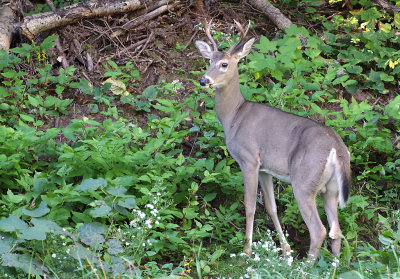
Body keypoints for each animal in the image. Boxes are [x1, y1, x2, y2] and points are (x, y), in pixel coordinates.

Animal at [195, 20, 352, 262]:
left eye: (224, 64)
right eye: (208, 60)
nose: (204, 80)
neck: (234, 116)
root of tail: (337, 148)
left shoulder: (249, 159)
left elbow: (250, 205)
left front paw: (247, 250)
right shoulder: (265, 169)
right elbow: (271, 207)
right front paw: (285, 249)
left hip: (304, 180)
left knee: (319, 230)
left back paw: (305, 266)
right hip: (331, 189)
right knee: (336, 231)